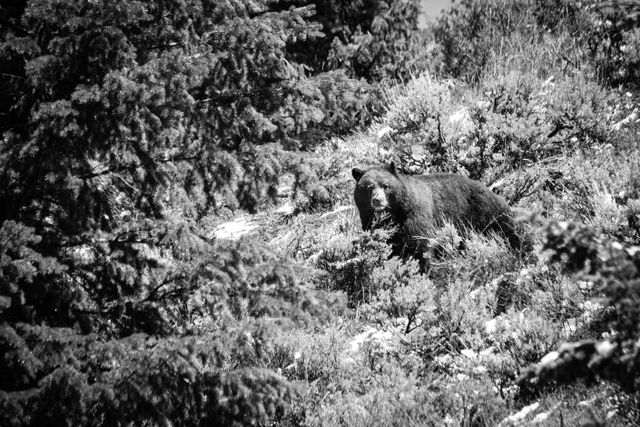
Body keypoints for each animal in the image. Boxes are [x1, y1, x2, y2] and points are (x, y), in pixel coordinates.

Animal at [350, 166, 524, 256]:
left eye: (386, 186)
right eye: (368, 187)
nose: (377, 200)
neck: (396, 211)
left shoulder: (416, 213)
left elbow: (421, 241)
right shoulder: (370, 221)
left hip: (485, 210)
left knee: (505, 227)